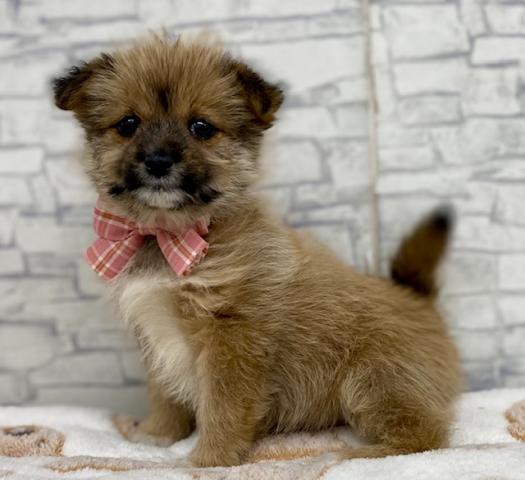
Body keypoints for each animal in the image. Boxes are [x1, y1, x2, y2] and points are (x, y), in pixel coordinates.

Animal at [53, 33, 462, 467]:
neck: (172, 235)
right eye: (128, 124)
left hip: (374, 378)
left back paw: (352, 455)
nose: (159, 161)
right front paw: (157, 436)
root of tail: (417, 297)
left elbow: (224, 406)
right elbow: (164, 394)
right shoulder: (155, 333)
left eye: (201, 127)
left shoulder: (232, 336)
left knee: (423, 435)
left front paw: (208, 460)